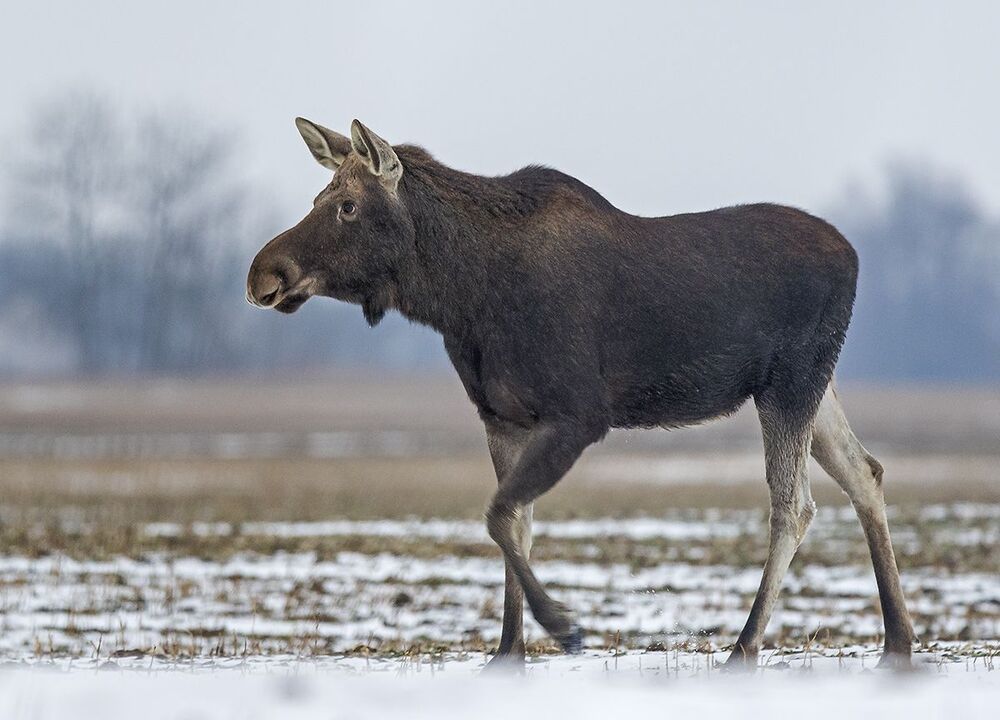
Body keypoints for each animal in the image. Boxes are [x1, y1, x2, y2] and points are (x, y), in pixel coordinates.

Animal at [247, 117, 915, 671]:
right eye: (318, 198)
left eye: (348, 205)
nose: (262, 273)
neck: (461, 298)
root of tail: (854, 256)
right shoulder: (501, 415)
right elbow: (514, 522)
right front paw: (507, 650)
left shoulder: (579, 414)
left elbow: (498, 514)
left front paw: (562, 626)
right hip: (813, 385)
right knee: (865, 472)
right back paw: (897, 639)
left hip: (790, 381)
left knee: (794, 502)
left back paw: (745, 646)